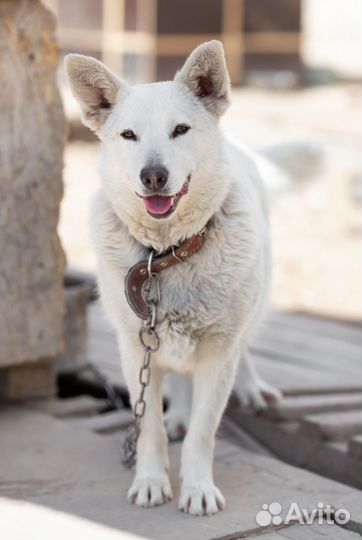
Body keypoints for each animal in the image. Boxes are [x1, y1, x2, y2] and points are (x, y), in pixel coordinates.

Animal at [65, 41, 282, 516]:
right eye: (128, 135)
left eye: (180, 130)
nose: (153, 176)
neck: (164, 256)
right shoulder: (135, 350)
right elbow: (150, 427)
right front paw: (150, 480)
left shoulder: (219, 351)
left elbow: (205, 430)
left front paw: (198, 488)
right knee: (178, 377)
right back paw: (179, 412)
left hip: (254, 302)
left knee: (246, 344)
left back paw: (252, 387)